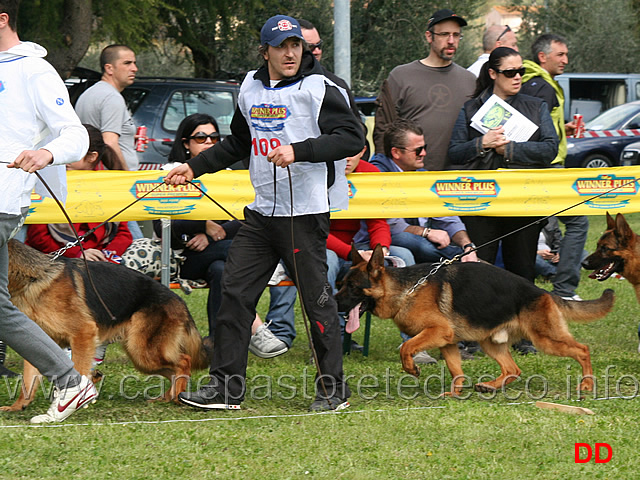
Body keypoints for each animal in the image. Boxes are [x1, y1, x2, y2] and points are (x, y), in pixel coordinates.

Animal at [0, 238, 210, 410]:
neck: (33, 279)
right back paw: (168, 397)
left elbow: (79, 368)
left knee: (184, 361)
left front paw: (74, 400)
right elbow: (29, 378)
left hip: (142, 351)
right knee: (173, 370)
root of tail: (179, 301)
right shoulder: (36, 340)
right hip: (141, 356)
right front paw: (18, 405)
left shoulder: (83, 333)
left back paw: (178, 397)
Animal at [338, 246, 612, 396]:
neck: (405, 290)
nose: (334, 303)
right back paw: (490, 386)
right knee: (513, 370)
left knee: (582, 350)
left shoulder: (438, 331)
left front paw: (411, 368)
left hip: (546, 339)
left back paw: (587, 385)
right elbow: (456, 371)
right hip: (492, 343)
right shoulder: (447, 342)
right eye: (341, 284)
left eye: (352, 288)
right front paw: (455, 393)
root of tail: (542, 292)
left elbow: (406, 347)